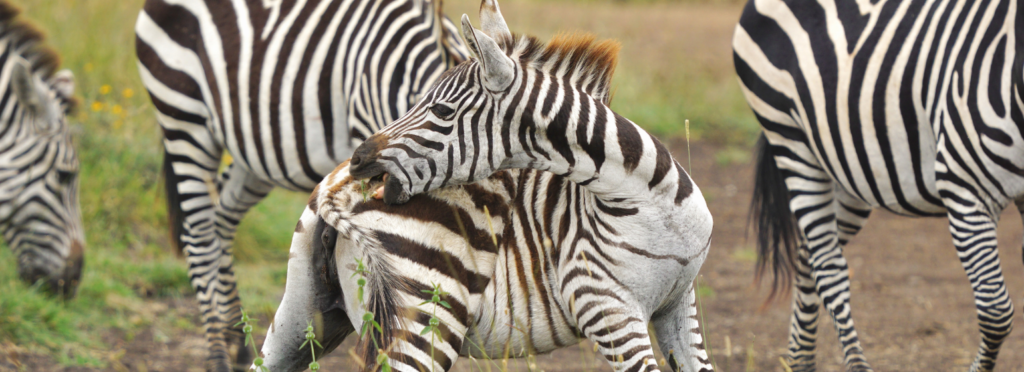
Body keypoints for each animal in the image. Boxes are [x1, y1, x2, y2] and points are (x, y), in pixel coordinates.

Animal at [133, 0, 468, 370]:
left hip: (254, 152)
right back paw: (218, 352)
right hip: (183, 117)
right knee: (199, 234)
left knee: (221, 220)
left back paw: (237, 337)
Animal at [260, 1, 716, 370]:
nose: (359, 160)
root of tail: (336, 193)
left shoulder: (679, 304)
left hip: (302, 315)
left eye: (442, 111)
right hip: (425, 317)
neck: (651, 203)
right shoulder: (606, 306)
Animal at [737, 0, 1024, 370]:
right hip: (791, 141)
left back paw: (801, 361)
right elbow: (996, 313)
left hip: (848, 168)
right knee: (828, 268)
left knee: (807, 258)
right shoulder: (965, 190)